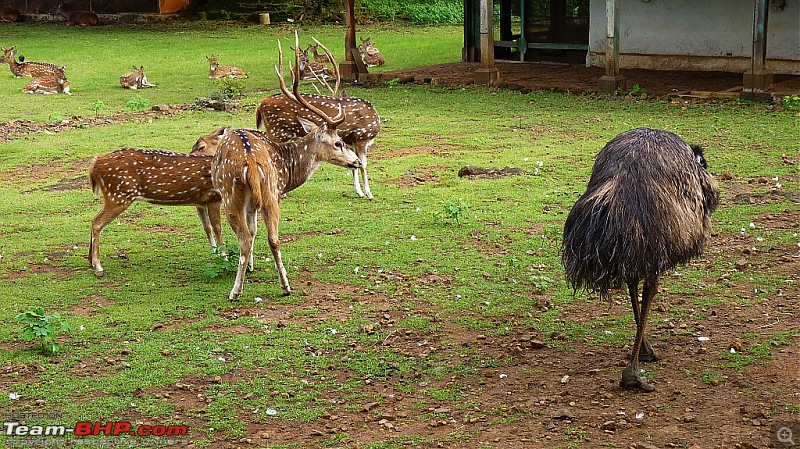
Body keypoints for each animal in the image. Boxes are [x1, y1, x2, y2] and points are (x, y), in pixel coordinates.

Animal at [88, 126, 228, 278]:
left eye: (201, 146)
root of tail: (95, 164)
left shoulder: (200, 203)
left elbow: (207, 228)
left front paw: (217, 254)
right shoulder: (214, 198)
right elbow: (217, 228)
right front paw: (225, 258)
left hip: (114, 195)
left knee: (94, 220)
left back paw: (90, 261)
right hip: (118, 195)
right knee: (97, 222)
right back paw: (98, 267)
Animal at [214, 33, 360, 300]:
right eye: (339, 142)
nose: (356, 162)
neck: (288, 168)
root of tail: (250, 162)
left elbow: (253, 232)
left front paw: (249, 268)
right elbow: (256, 231)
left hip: (237, 195)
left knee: (251, 238)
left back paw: (241, 290)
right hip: (268, 192)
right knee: (269, 238)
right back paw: (277, 286)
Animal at [256, 37, 382, 199]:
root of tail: (260, 105)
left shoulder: (350, 141)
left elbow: (354, 164)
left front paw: (359, 191)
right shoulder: (362, 137)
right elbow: (363, 164)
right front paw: (369, 193)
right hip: (276, 131)